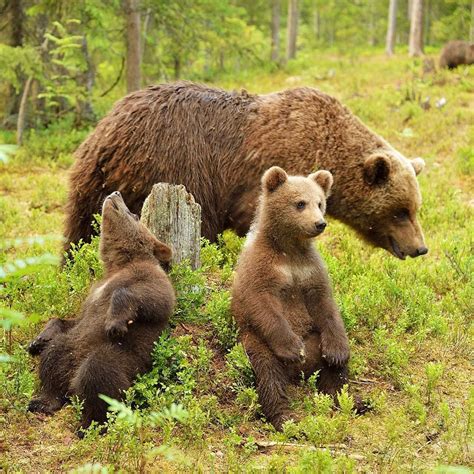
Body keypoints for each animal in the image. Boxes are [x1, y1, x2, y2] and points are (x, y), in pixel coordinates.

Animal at [64, 80, 430, 260]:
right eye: (399, 211)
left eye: (414, 208)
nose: (419, 248)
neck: (326, 147)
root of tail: (105, 130)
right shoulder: (269, 169)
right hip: (172, 165)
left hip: (93, 184)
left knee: (78, 230)